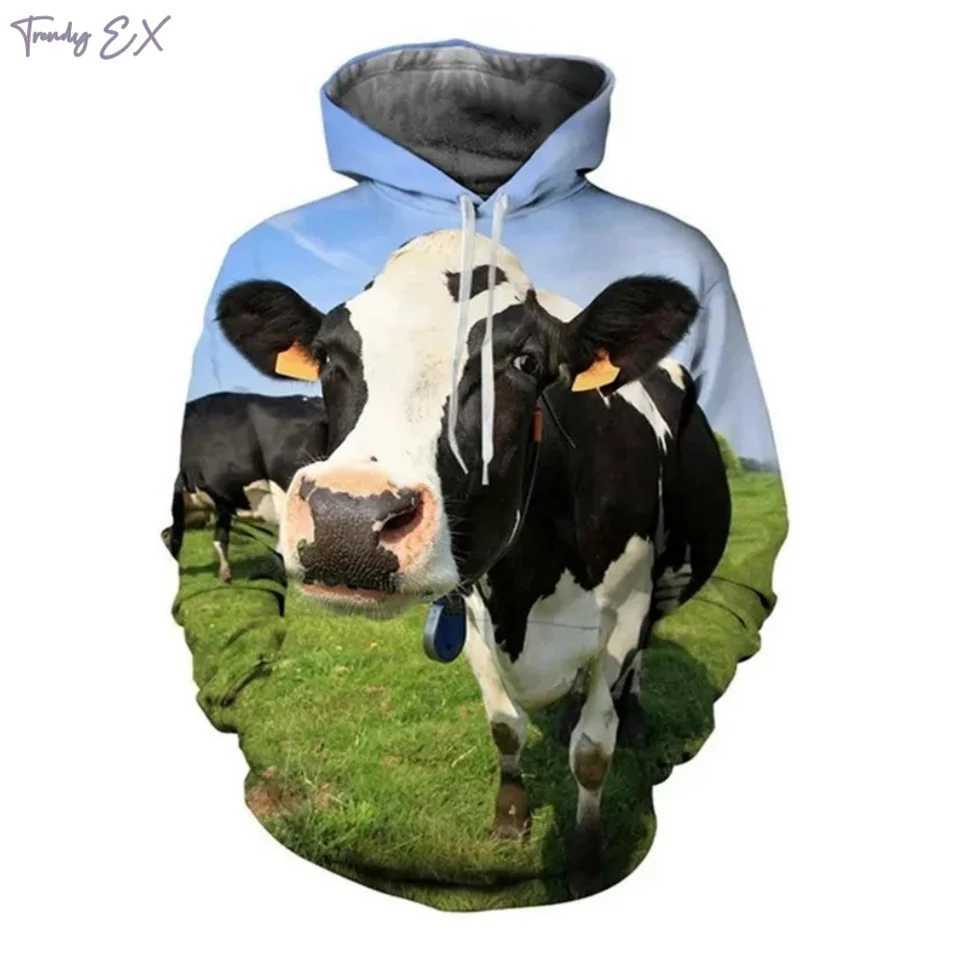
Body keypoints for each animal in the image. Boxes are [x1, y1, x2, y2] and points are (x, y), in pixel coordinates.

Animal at [215, 229, 730, 896]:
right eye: (328, 356)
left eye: (525, 362)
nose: (347, 521)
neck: (529, 589)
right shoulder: (473, 607)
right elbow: (505, 725)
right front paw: (510, 819)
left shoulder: (627, 606)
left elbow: (593, 749)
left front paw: (586, 856)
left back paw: (632, 715)